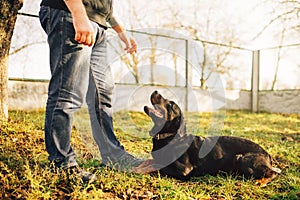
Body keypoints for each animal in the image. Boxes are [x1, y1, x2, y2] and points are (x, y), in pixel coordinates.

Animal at [137, 90, 282, 186]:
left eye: (171, 104)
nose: (155, 91)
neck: (170, 136)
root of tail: (268, 154)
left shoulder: (184, 170)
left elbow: (157, 165)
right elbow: (149, 161)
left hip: (242, 159)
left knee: (274, 173)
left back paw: (260, 181)